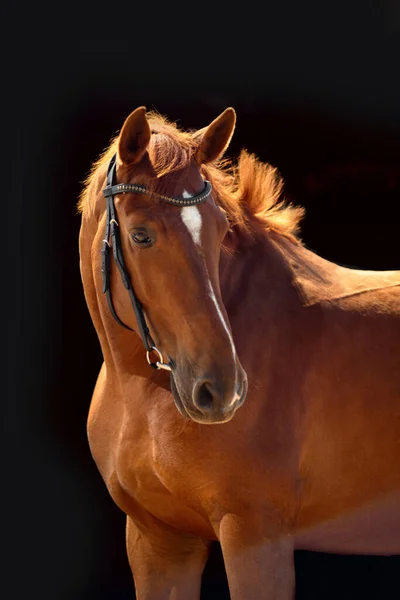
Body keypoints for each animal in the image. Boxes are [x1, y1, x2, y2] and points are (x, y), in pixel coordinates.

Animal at [78, 105, 400, 596]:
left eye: (221, 231)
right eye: (141, 235)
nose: (222, 390)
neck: (143, 394)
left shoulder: (255, 534)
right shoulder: (158, 540)